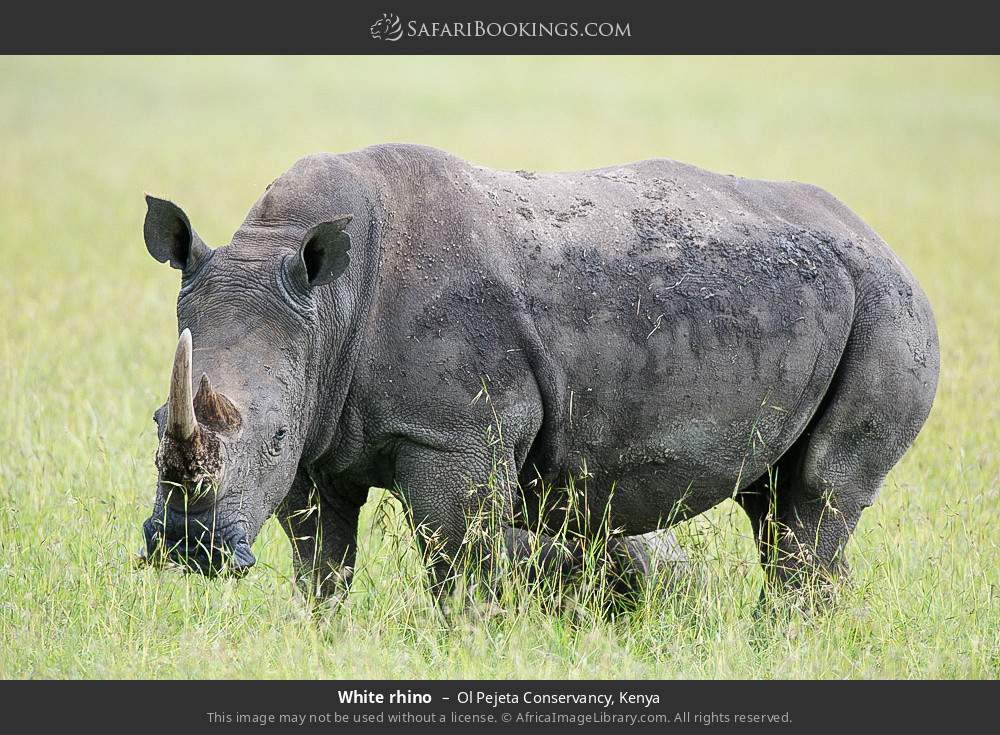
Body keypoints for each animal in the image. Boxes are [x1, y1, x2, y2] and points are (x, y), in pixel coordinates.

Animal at [139, 144, 938, 607]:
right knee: (773, 502)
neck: (326, 304)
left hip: (892, 308)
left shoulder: (452, 435)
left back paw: (790, 633)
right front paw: (323, 635)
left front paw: (459, 642)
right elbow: (321, 562)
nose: (186, 548)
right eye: (153, 422)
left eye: (270, 436)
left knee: (819, 498)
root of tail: (881, 240)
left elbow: (455, 559)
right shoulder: (318, 427)